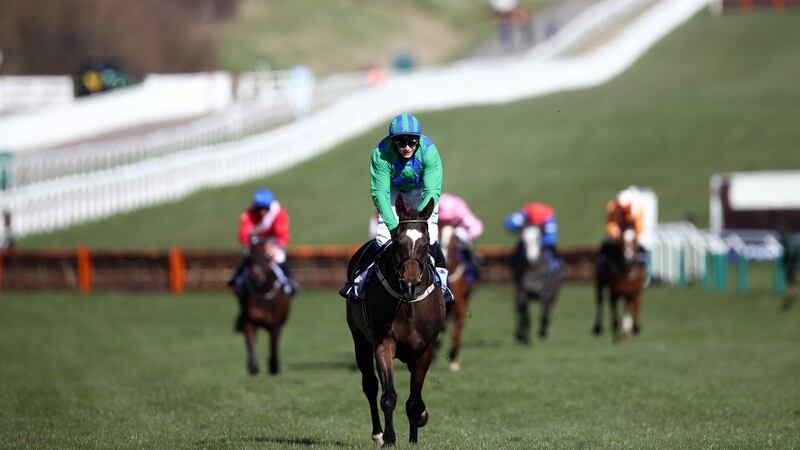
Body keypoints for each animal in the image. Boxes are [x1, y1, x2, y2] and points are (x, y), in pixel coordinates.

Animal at [233, 237, 292, 374]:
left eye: (266, 256)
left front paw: (274, 366)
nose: (256, 276)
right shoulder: (249, 321)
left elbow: (272, 344)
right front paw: (252, 367)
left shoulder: (275, 325)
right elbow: (250, 343)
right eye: (249, 257)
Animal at [344, 197, 446, 446]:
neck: (407, 306)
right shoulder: (384, 342)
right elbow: (388, 395)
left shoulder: (425, 349)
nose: (410, 283)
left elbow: (415, 400)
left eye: (426, 243)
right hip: (360, 339)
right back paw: (378, 433)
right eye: (398, 242)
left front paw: (415, 434)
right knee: (370, 385)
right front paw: (389, 437)